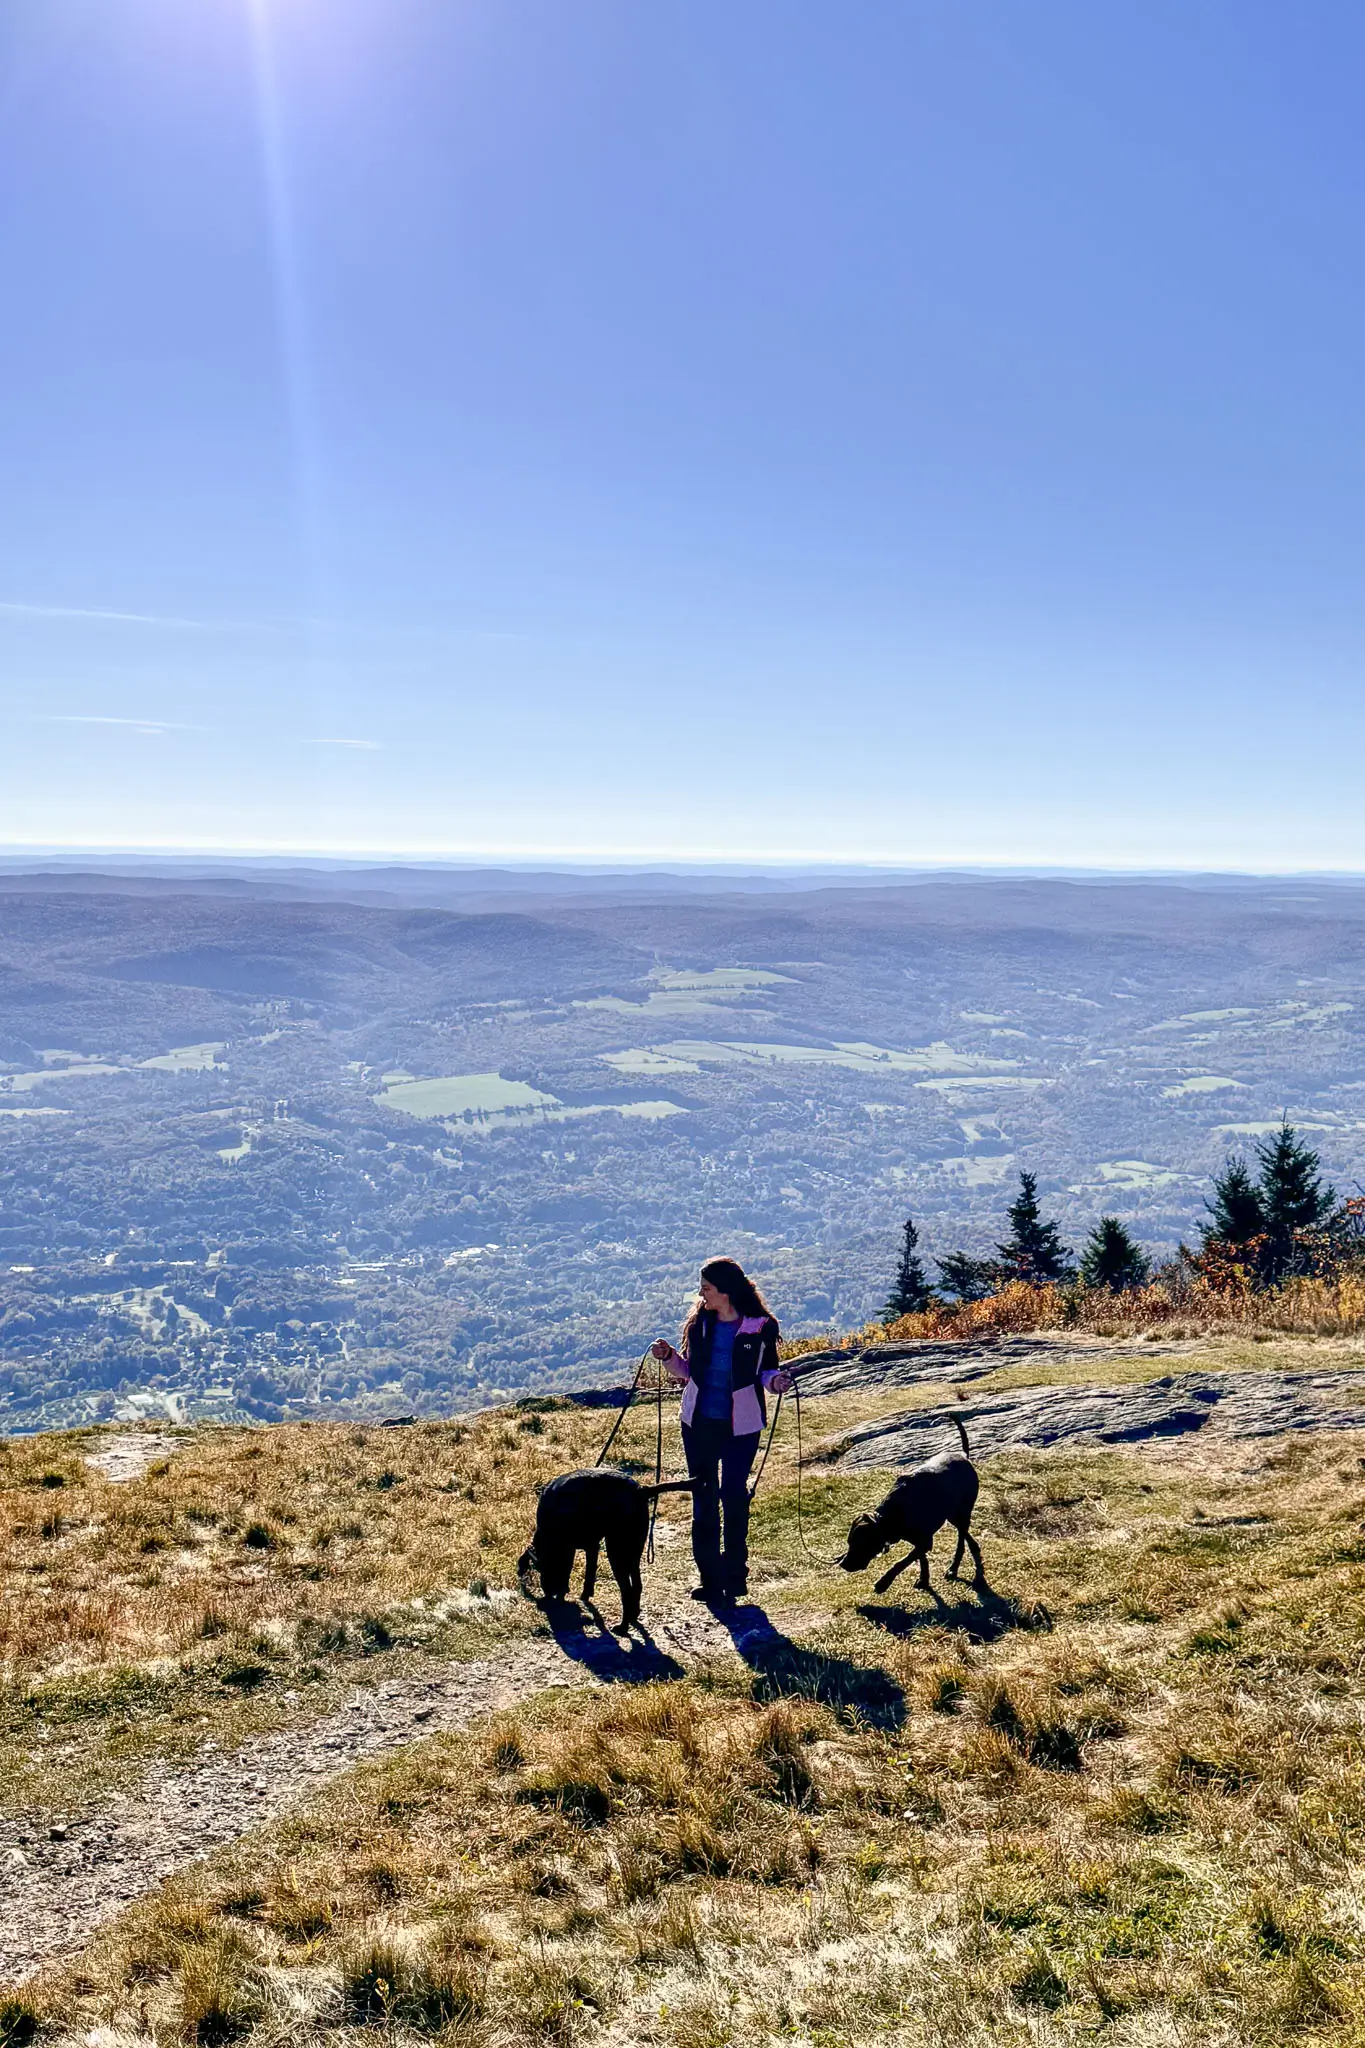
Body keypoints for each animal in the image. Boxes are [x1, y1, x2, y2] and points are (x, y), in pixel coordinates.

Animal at [519, 1474, 699, 1630]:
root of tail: (640, 1489)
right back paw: (634, 1615)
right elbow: (588, 1574)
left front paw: (562, 1596)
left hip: (616, 1552)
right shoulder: (591, 1547)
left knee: (626, 1590)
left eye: (541, 1568)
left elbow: (566, 1574)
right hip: (633, 1553)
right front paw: (584, 1595)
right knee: (637, 1585)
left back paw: (623, 1626)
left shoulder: (568, 1549)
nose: (548, 1595)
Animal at [839, 1425, 986, 1597]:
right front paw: (924, 1580)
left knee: (961, 1541)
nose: (843, 1564)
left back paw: (953, 1569)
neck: (891, 1514)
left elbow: (902, 1562)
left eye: (860, 1544)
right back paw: (973, 1547)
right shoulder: (920, 1542)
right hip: (952, 1515)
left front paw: (884, 1583)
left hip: (961, 1512)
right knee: (965, 1532)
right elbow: (922, 1559)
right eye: (849, 1542)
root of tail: (964, 1456)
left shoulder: (925, 1541)